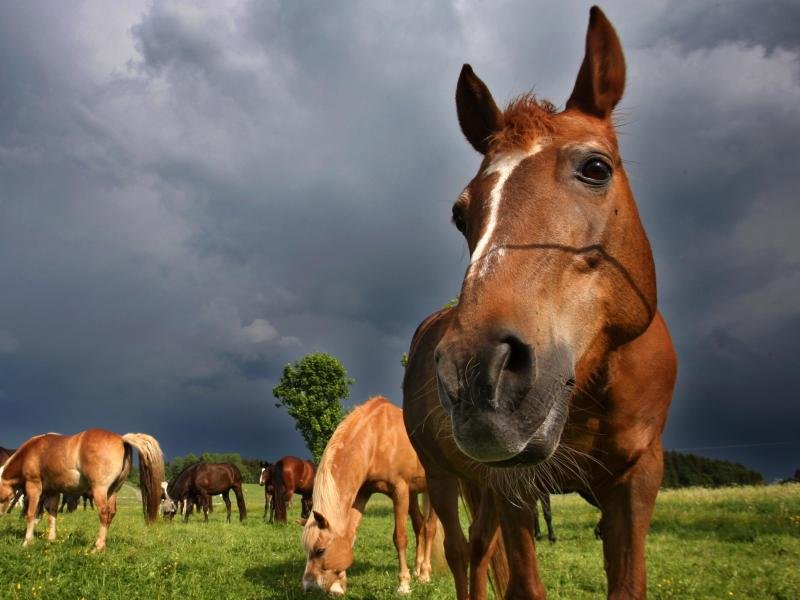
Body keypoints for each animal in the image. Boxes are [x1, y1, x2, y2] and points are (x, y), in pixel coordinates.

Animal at [0, 428, 164, 552]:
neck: (31, 451)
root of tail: (122, 439)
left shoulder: (33, 486)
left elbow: (31, 513)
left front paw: (27, 541)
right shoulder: (54, 491)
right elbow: (52, 514)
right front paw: (51, 540)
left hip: (100, 490)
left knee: (104, 513)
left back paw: (97, 547)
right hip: (113, 491)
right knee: (111, 514)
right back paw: (103, 544)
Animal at [300, 398, 438, 596]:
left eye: (320, 550)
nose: (308, 588)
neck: (376, 437)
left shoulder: (400, 491)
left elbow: (400, 538)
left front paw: (403, 585)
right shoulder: (363, 494)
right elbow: (349, 534)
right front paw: (338, 585)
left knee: (430, 528)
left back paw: (425, 574)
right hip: (413, 493)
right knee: (419, 525)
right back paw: (418, 571)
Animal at [400, 8, 676, 600]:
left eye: (596, 168)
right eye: (460, 213)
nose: (478, 372)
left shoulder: (637, 478)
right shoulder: (514, 486)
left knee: (481, 551)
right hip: (443, 476)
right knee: (462, 553)